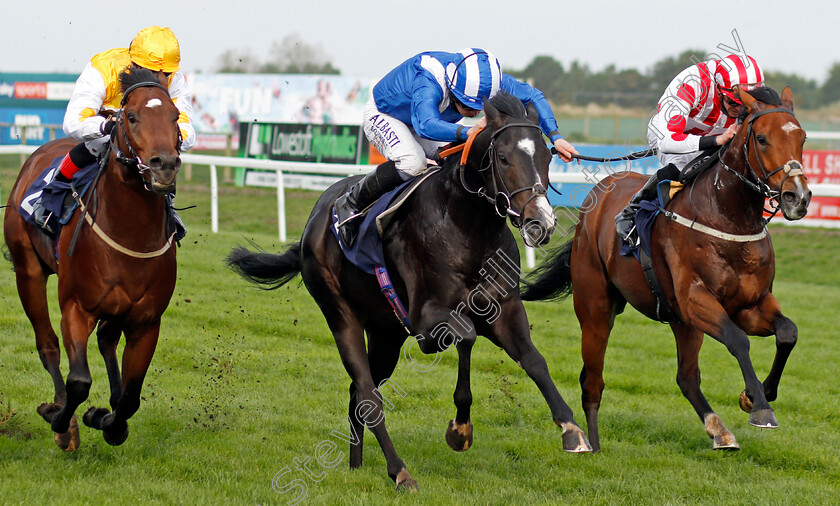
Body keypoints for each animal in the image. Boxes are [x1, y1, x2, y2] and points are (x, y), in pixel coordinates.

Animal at [3, 65, 181, 448]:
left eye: (175, 116)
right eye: (131, 117)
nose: (164, 165)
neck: (130, 232)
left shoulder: (146, 321)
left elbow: (130, 397)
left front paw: (108, 421)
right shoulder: (76, 307)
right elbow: (79, 381)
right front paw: (60, 419)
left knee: (106, 341)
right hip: (28, 271)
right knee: (48, 345)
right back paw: (62, 414)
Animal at [225, 93, 592, 492]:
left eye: (547, 158)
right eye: (504, 158)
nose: (541, 223)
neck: (466, 225)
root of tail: (316, 217)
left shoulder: (504, 309)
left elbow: (533, 360)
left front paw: (572, 429)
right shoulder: (426, 321)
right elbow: (466, 335)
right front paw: (460, 429)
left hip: (385, 333)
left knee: (359, 394)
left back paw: (357, 465)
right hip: (340, 314)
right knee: (368, 396)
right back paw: (400, 471)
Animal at [520, 86, 812, 450]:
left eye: (802, 137)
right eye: (761, 138)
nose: (797, 197)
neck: (729, 219)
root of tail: (595, 198)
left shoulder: (750, 304)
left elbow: (788, 332)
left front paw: (757, 395)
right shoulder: (695, 299)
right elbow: (738, 340)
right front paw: (760, 406)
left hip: (681, 322)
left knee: (686, 377)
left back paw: (720, 431)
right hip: (596, 308)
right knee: (592, 380)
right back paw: (591, 445)